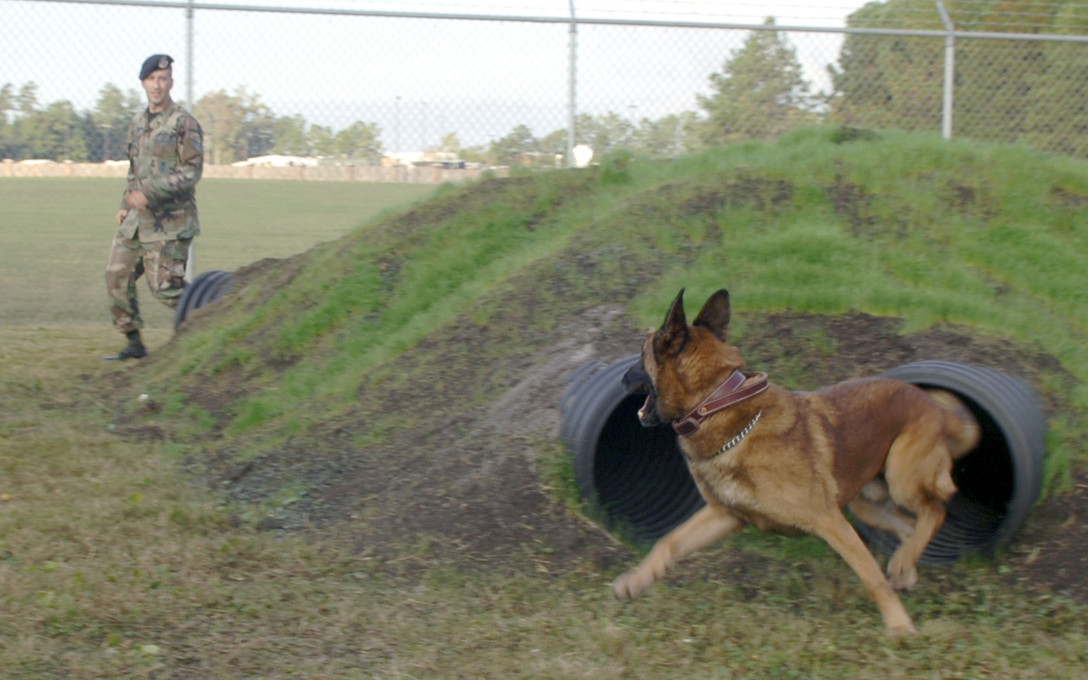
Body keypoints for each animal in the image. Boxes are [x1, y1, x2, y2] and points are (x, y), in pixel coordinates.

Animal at [617, 289, 983, 635]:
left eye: (640, 355)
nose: (621, 378)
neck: (719, 404)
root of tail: (935, 407)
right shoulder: (724, 516)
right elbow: (669, 542)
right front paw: (634, 581)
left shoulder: (829, 521)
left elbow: (872, 578)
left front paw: (900, 627)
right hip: (868, 504)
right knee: (910, 526)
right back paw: (904, 566)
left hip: (901, 479)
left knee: (935, 511)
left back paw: (904, 565)